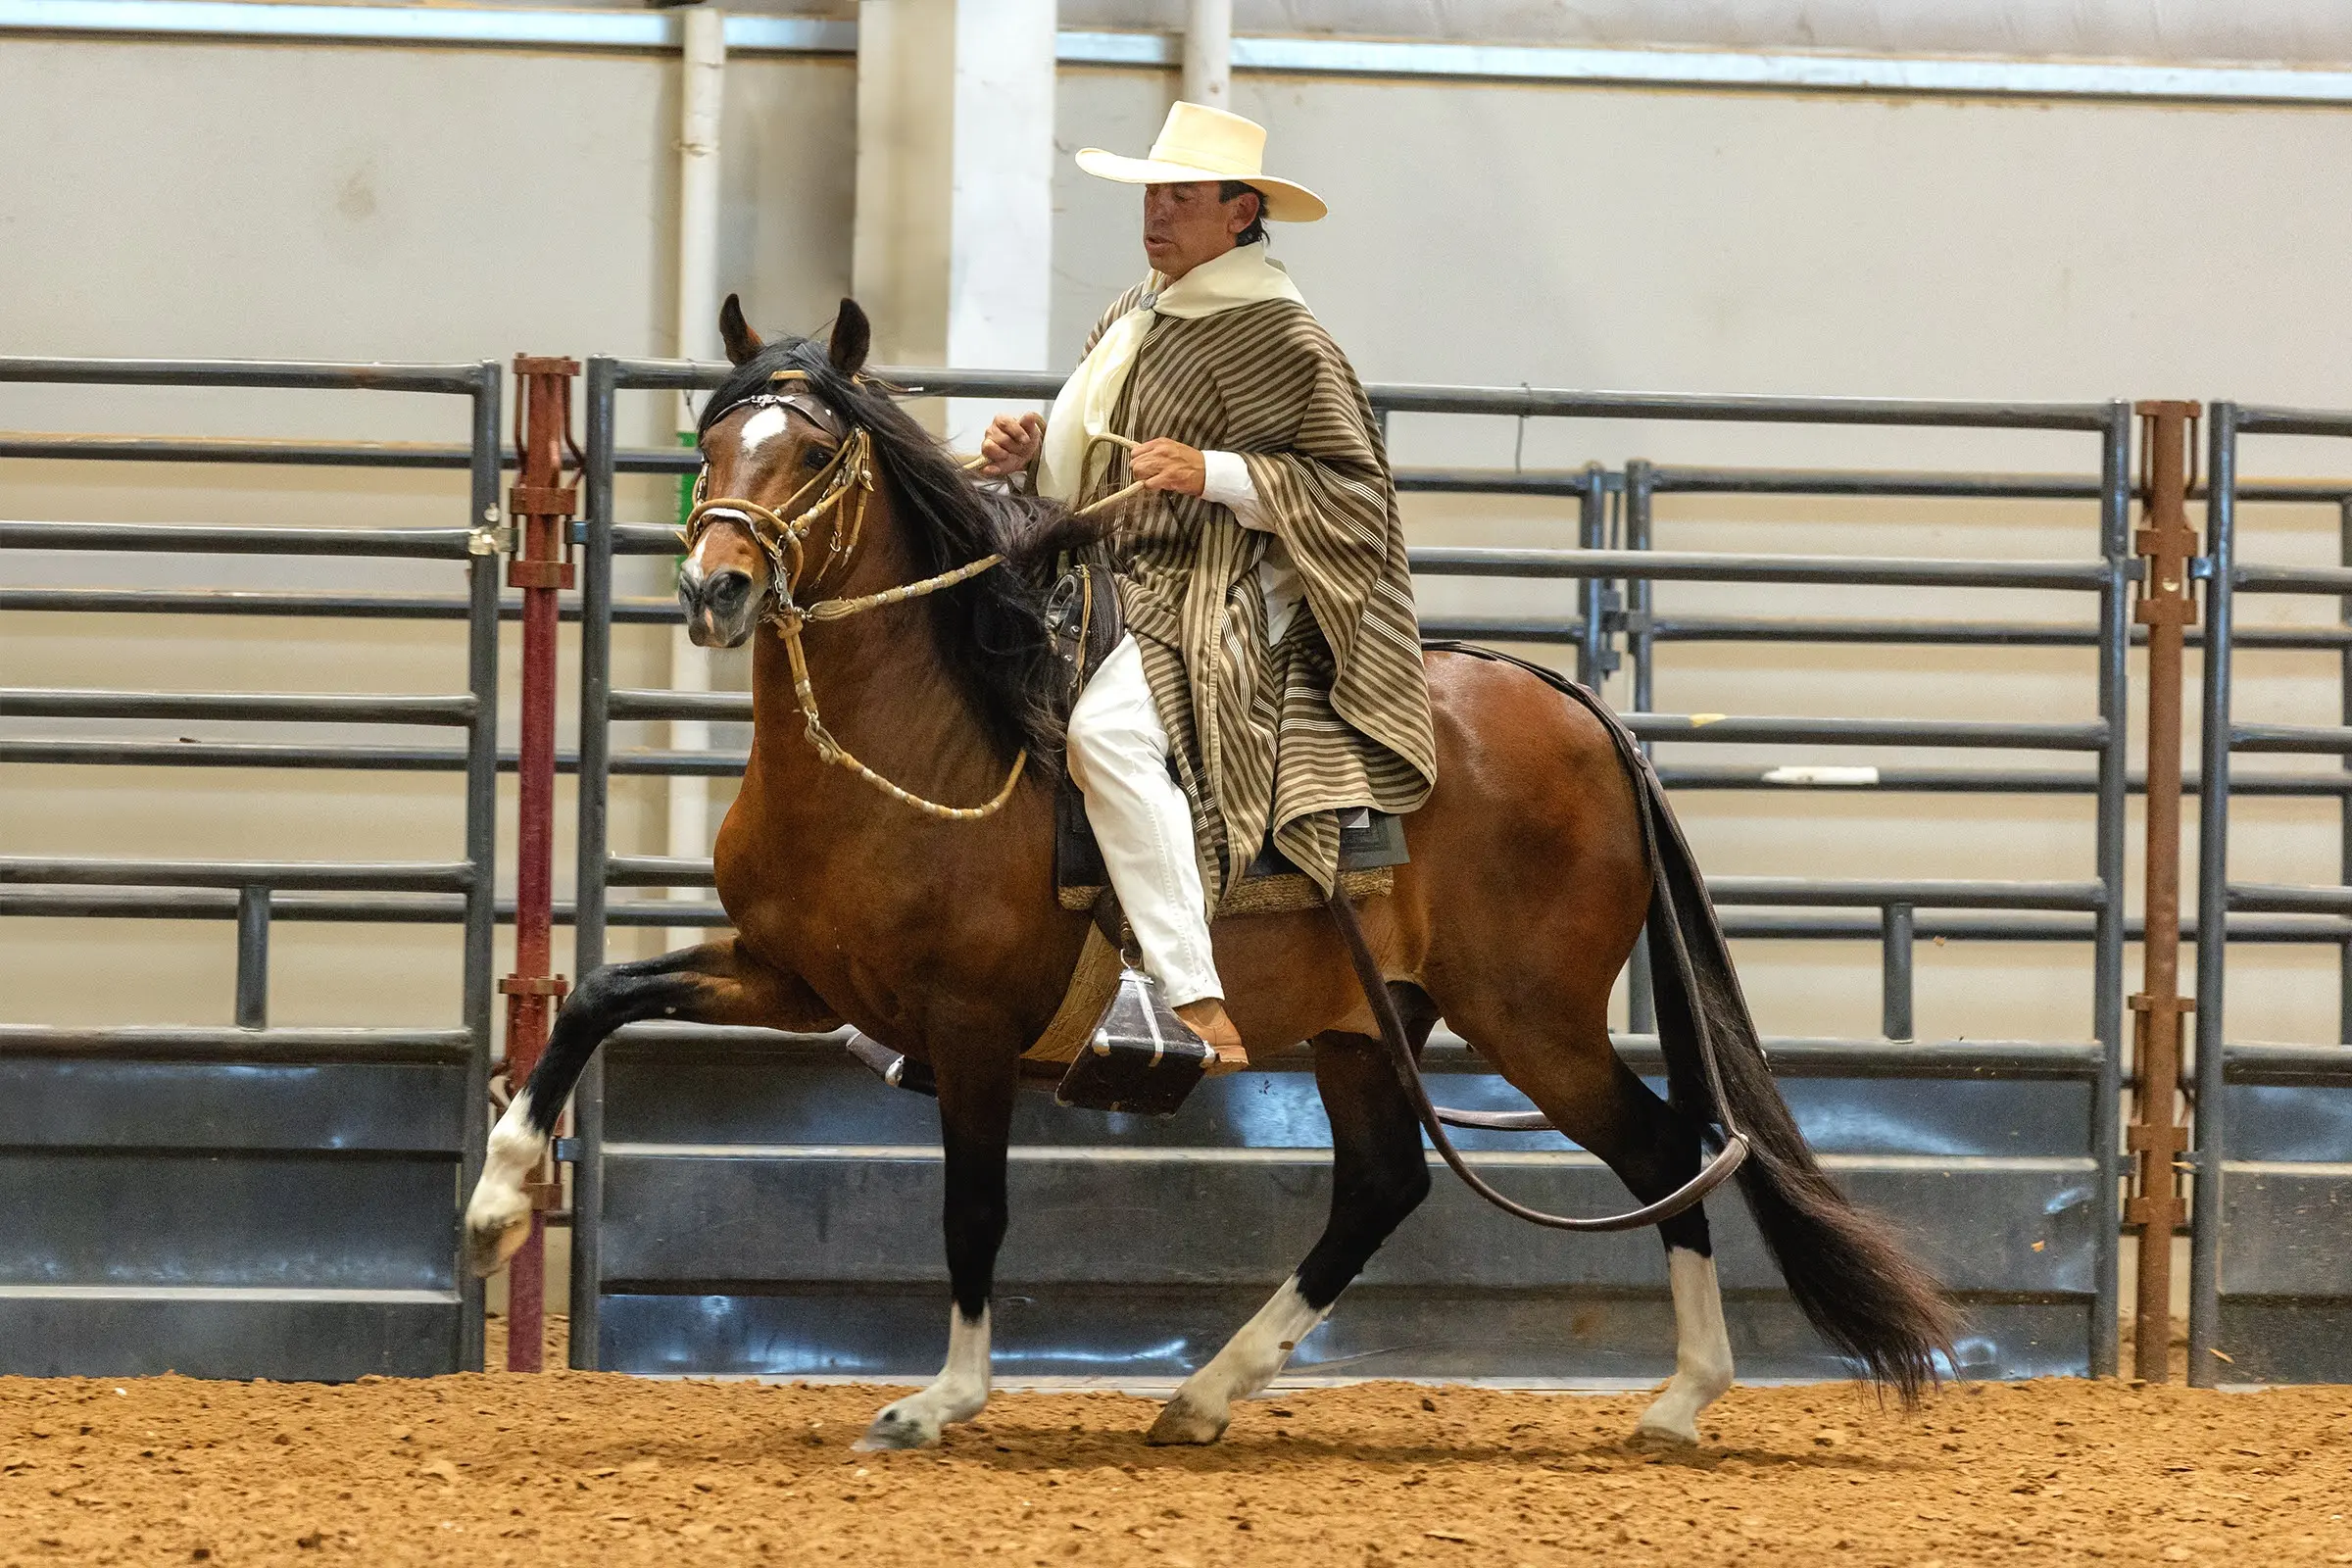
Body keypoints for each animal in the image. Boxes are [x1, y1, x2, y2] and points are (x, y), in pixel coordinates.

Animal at [464, 297, 1952, 1451]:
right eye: (712, 435)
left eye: (817, 450)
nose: (713, 589)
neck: (927, 740)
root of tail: (1581, 713)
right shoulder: (789, 978)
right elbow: (596, 996)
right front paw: (496, 1202)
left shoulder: (971, 1030)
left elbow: (973, 1208)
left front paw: (939, 1400)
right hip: (1370, 1026)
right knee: (1386, 1185)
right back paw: (1206, 1395)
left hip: (1531, 1017)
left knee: (1660, 1147)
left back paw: (1682, 1399)